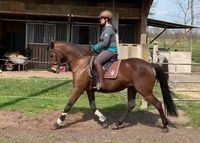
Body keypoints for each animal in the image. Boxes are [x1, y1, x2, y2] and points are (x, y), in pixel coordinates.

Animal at [47, 40, 177, 132]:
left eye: (51, 55)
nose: (53, 69)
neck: (82, 63)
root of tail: (150, 65)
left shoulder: (79, 89)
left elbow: (68, 105)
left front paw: (57, 123)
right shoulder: (89, 90)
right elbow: (93, 106)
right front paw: (103, 120)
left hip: (145, 91)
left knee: (158, 104)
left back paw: (165, 126)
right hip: (132, 88)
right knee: (131, 105)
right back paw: (117, 124)